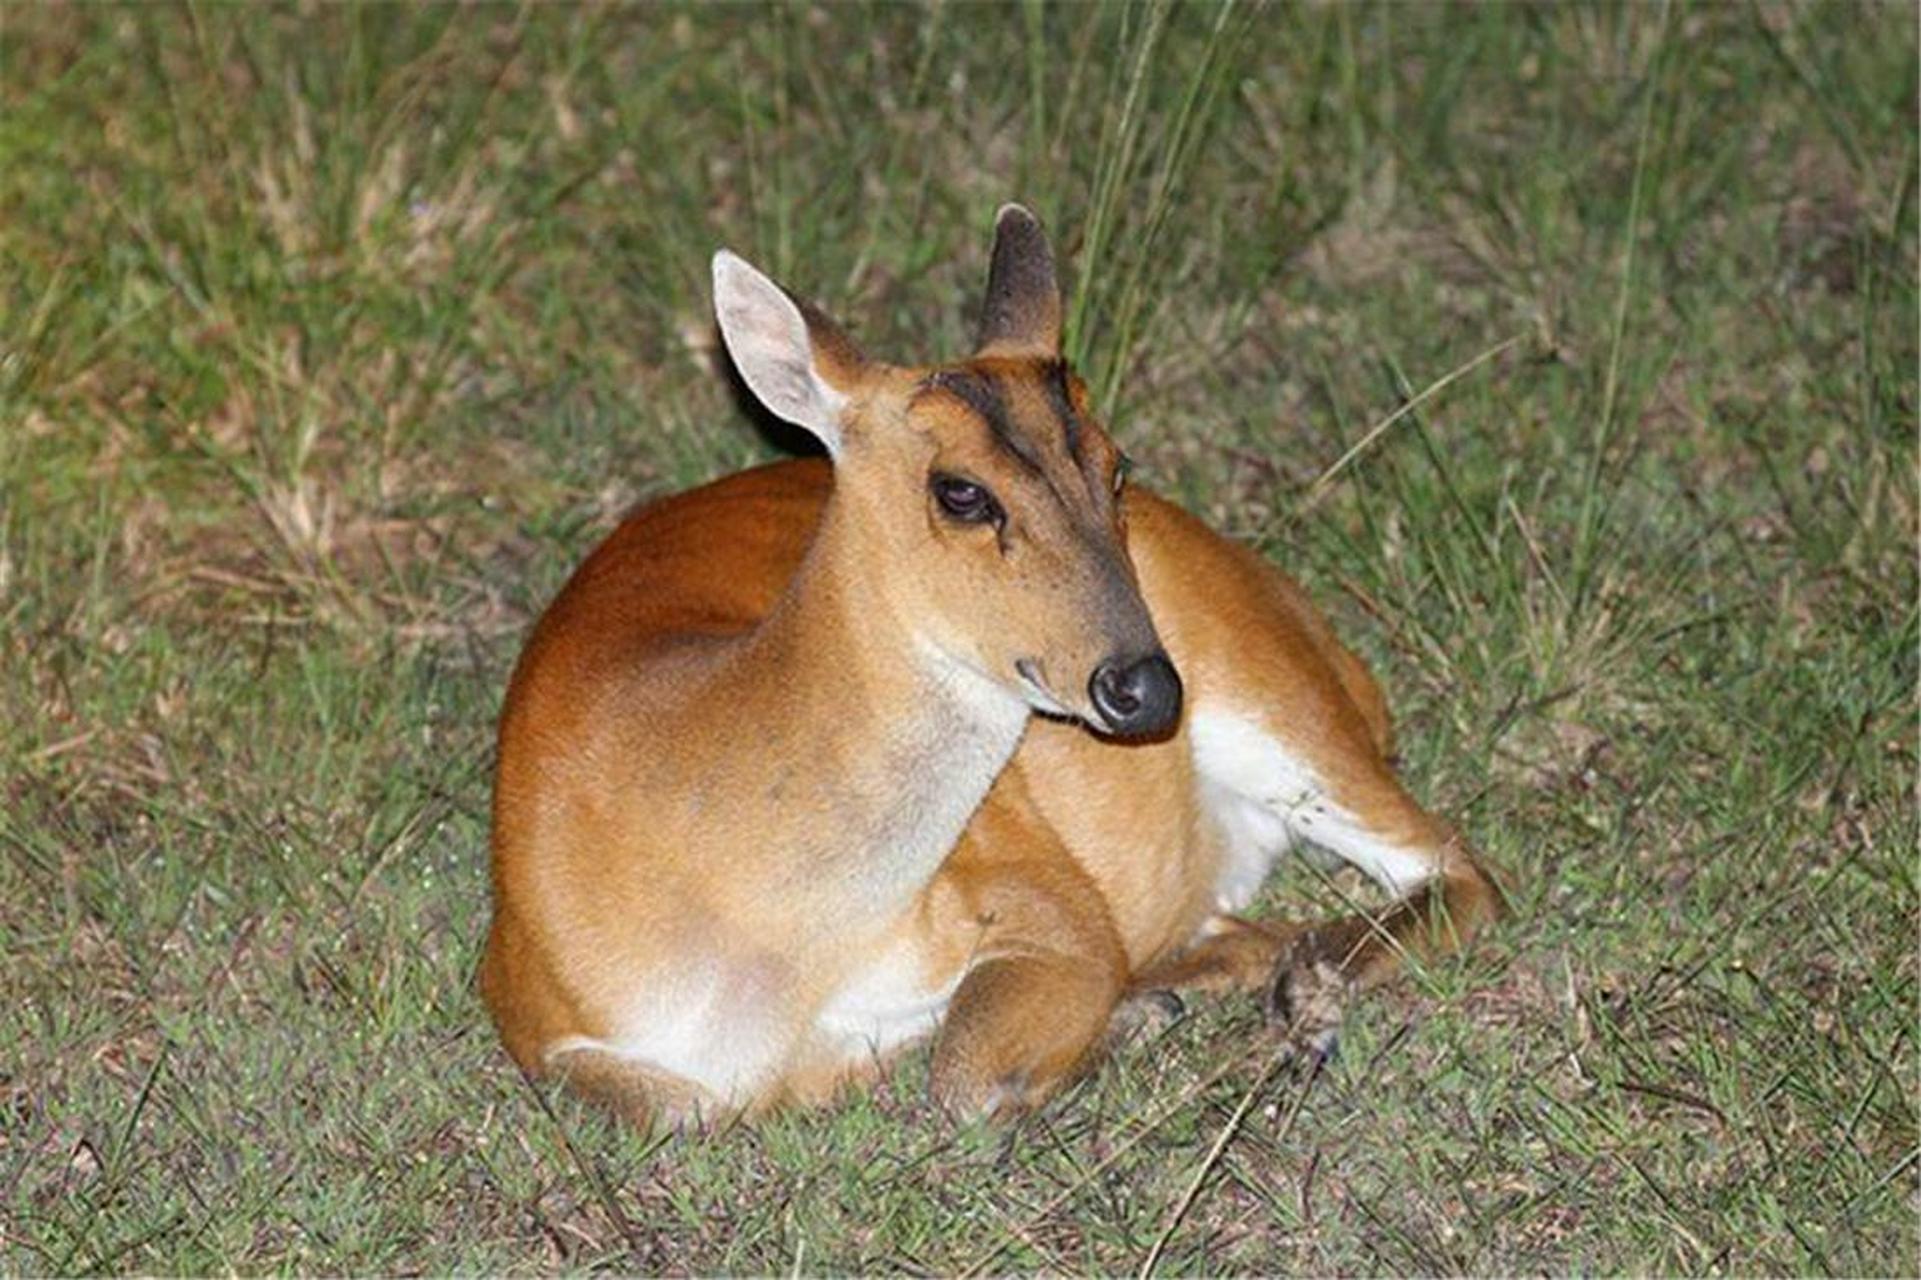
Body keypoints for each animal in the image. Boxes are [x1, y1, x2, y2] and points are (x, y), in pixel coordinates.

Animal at [480, 204, 1498, 1122]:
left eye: (1115, 464)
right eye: (960, 492)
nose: (1144, 687)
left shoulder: (1036, 888)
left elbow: (964, 1076)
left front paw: (1137, 1017)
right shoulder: (525, 1001)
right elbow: (682, 1103)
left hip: (1268, 686)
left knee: (1456, 869)